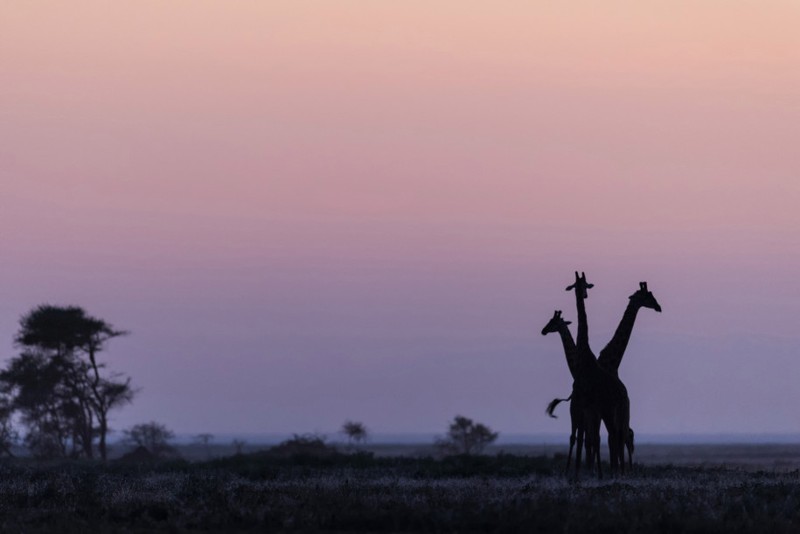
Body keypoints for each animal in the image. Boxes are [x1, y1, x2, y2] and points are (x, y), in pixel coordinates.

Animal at [564, 272, 632, 478]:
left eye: (586, 284)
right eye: (578, 285)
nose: (585, 295)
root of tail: (622, 393)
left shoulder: (583, 403)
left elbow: (585, 438)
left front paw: (578, 474)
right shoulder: (586, 405)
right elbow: (586, 438)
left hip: (609, 410)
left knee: (614, 435)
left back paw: (614, 473)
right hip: (609, 411)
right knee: (614, 435)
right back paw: (614, 472)